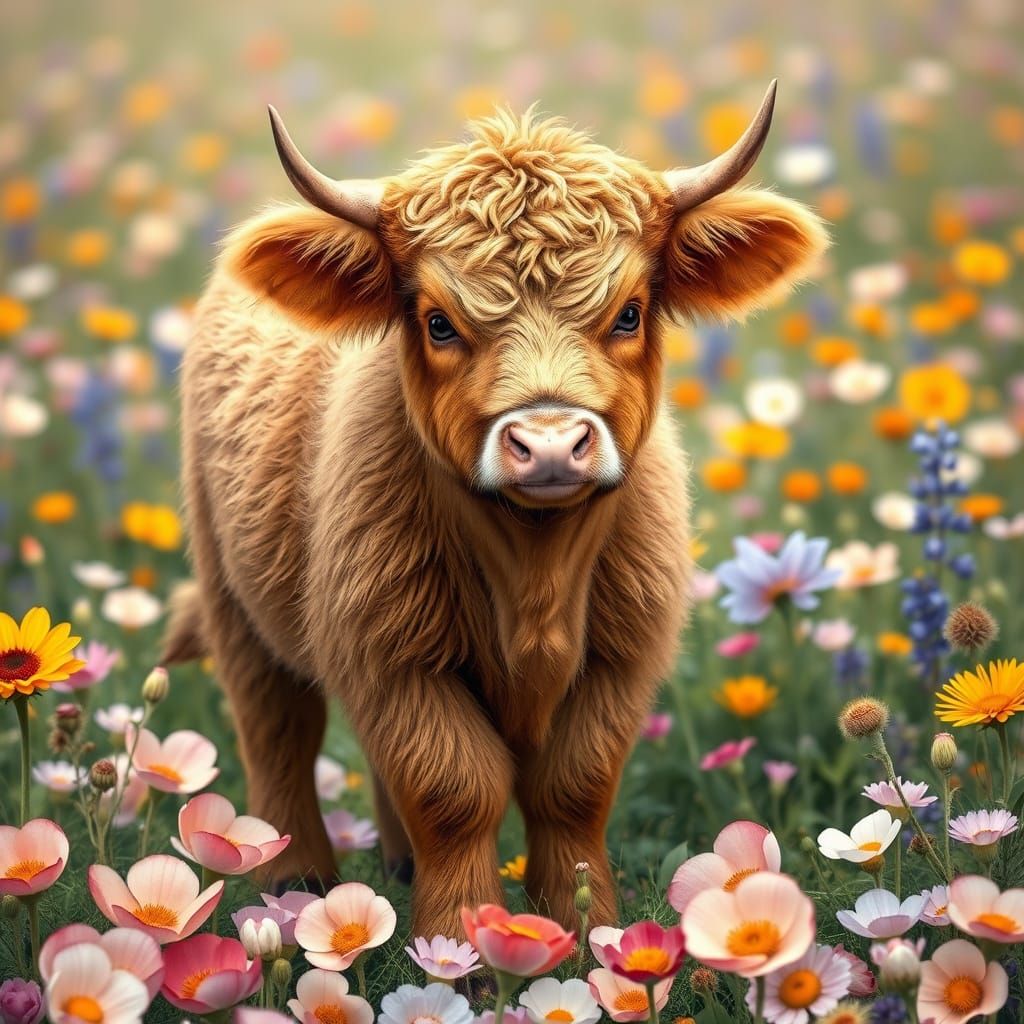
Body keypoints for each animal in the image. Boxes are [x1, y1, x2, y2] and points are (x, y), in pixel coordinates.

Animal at [163, 80, 827, 940]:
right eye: (439, 322)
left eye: (630, 312)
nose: (547, 445)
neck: (534, 573)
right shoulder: (394, 655)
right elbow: (455, 787)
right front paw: (457, 942)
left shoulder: (619, 656)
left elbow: (571, 787)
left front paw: (582, 932)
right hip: (233, 593)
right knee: (278, 727)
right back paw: (292, 880)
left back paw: (395, 867)